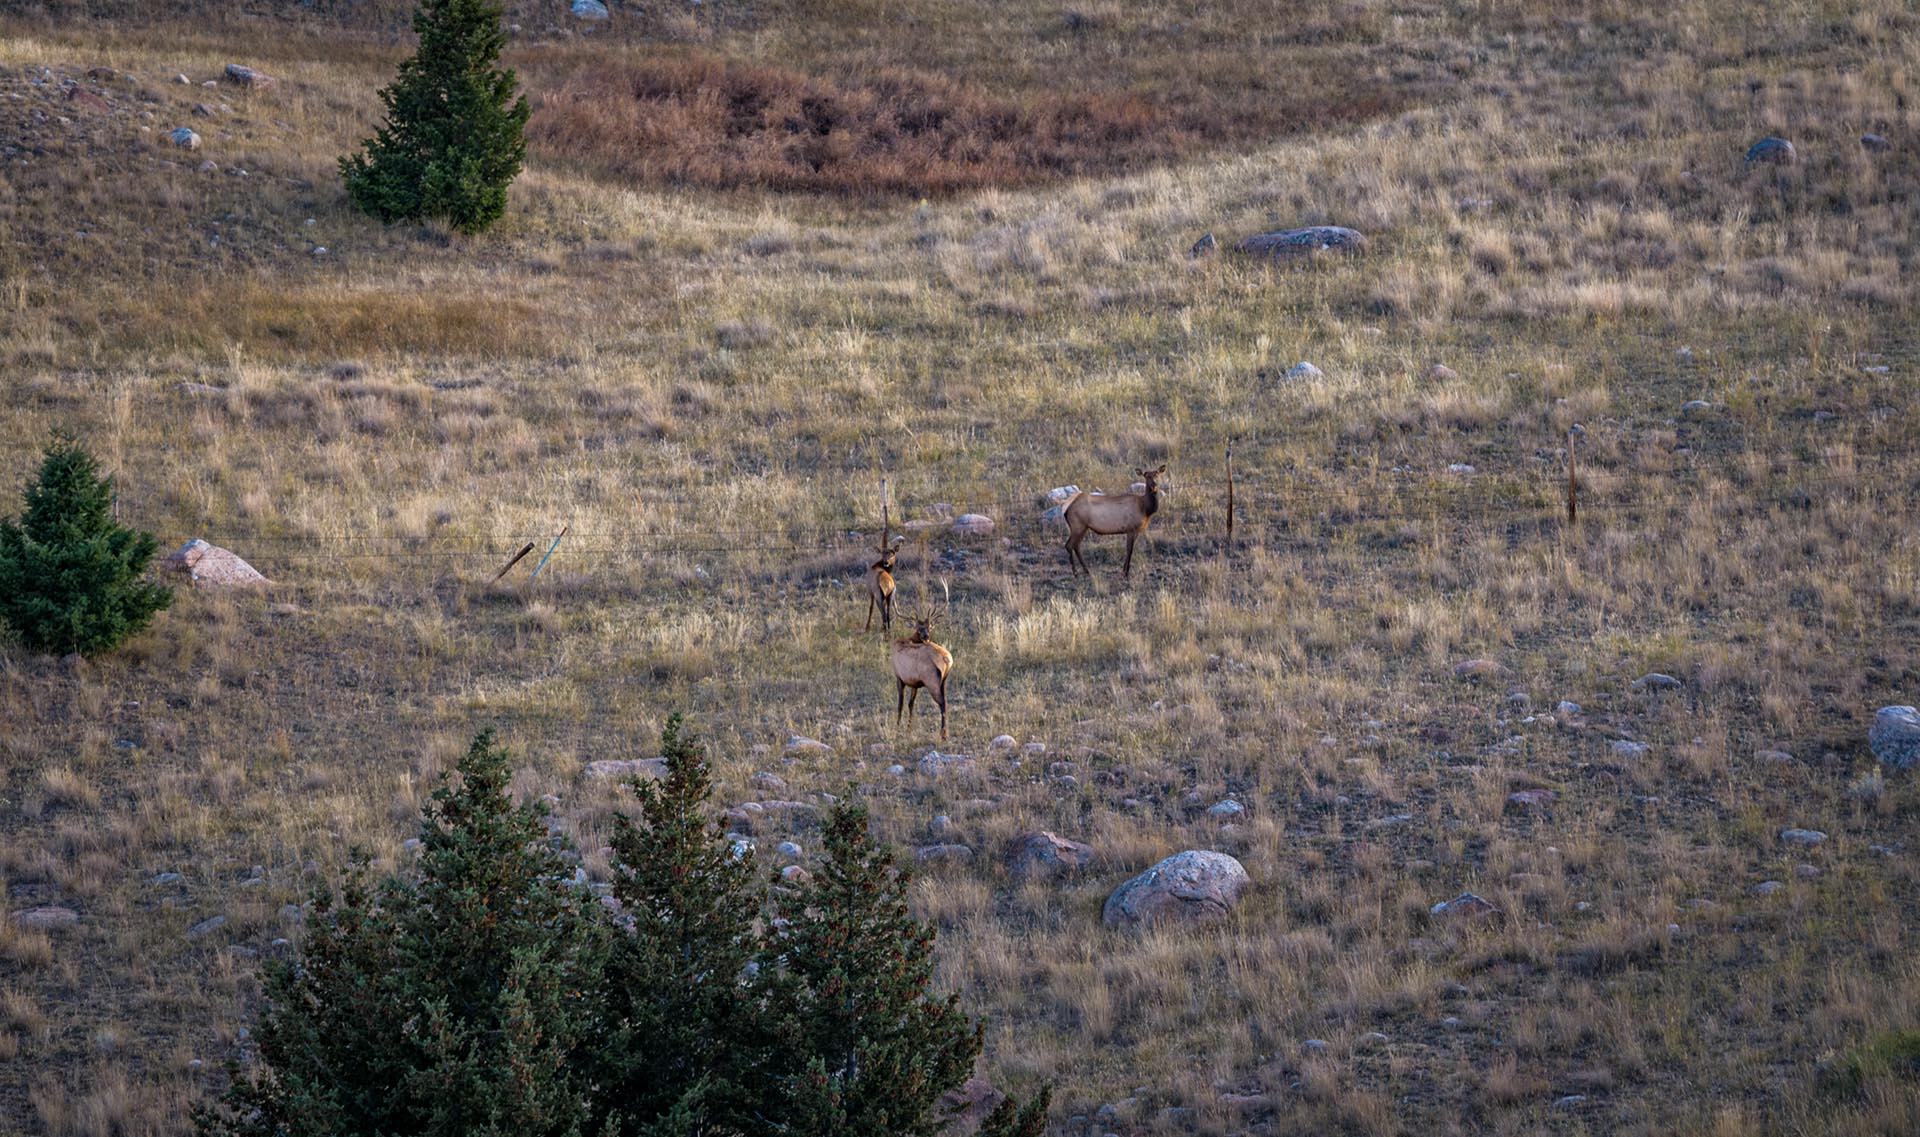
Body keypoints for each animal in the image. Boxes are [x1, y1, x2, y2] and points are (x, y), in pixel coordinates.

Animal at [890, 584, 953, 742]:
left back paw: (942, 734)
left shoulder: (899, 677)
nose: (926, 637)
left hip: (931, 681)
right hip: (943, 682)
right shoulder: (914, 683)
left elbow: (900, 704)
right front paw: (908, 728)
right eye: (919, 628)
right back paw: (945, 733)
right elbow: (910, 704)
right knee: (946, 702)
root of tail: (947, 659)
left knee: (942, 703)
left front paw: (897, 727)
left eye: (930, 627)